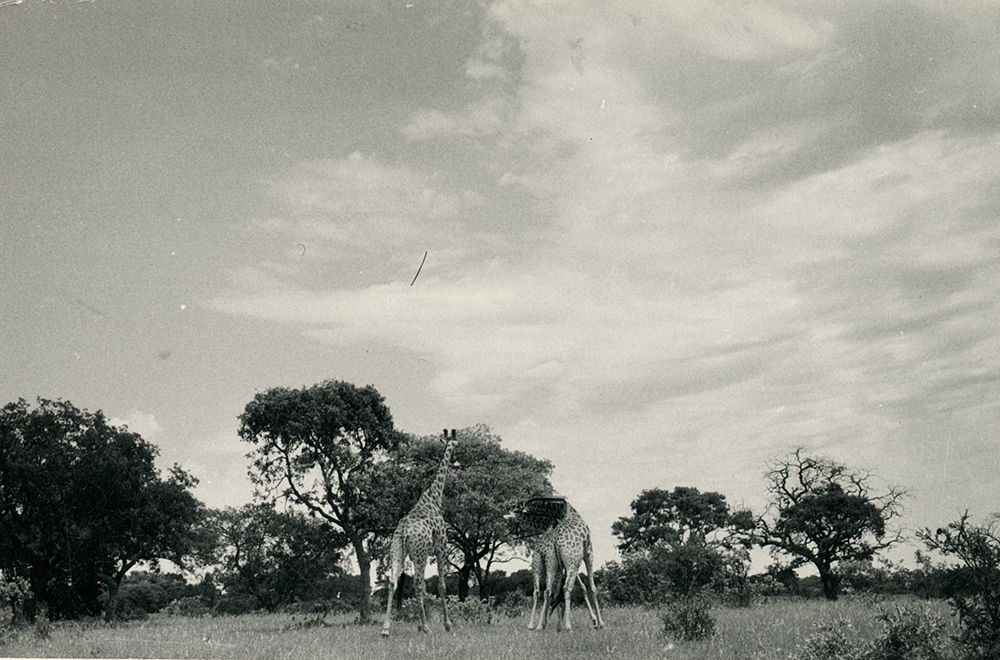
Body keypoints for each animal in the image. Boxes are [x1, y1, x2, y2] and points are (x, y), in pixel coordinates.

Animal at [382, 429, 457, 636]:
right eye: (457, 445)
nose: (458, 462)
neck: (434, 497)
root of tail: (404, 530)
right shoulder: (441, 548)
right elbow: (441, 585)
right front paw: (447, 625)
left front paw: (418, 624)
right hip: (421, 553)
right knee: (417, 584)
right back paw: (427, 627)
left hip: (398, 549)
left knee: (393, 582)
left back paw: (386, 628)